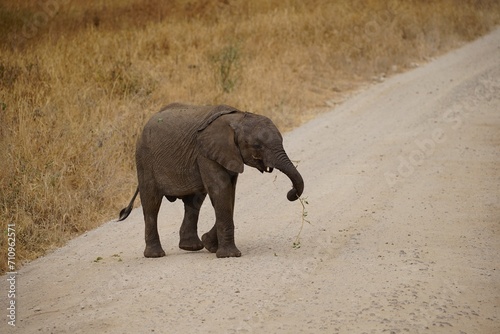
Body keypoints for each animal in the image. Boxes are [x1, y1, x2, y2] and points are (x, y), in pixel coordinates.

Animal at [118, 103, 304, 258]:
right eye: (257, 146)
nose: (290, 193)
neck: (237, 117)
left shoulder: (227, 154)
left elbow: (229, 193)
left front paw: (210, 244)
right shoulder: (205, 153)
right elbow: (221, 190)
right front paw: (229, 255)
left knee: (194, 202)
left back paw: (191, 247)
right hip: (144, 159)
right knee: (151, 204)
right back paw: (155, 255)